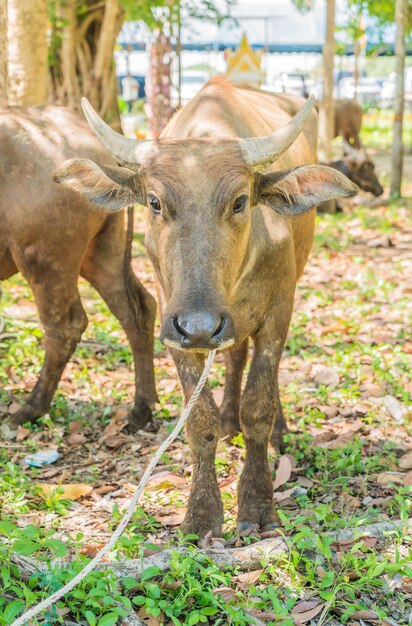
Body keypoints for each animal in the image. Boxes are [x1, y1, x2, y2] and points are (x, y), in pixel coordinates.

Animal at [0, 105, 158, 432]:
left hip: (45, 260)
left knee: (65, 327)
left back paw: (28, 410)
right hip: (103, 255)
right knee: (139, 310)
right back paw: (141, 409)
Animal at [55, 77, 358, 536]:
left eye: (239, 201)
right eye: (155, 202)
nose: (200, 325)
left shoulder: (277, 315)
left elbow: (259, 405)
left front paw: (257, 504)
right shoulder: (173, 326)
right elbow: (199, 419)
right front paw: (201, 512)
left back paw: (279, 431)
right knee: (234, 357)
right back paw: (230, 419)